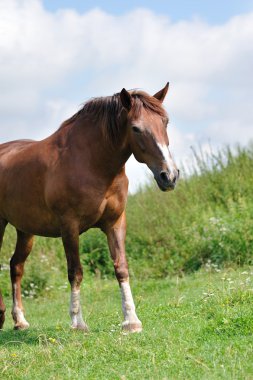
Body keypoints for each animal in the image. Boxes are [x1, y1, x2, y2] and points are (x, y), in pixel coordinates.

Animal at [0, 84, 178, 332]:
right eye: (136, 128)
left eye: (165, 122)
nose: (169, 176)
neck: (91, 163)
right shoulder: (69, 226)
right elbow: (75, 271)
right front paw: (77, 322)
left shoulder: (115, 223)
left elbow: (121, 268)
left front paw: (131, 321)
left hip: (25, 230)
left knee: (16, 266)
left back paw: (20, 321)